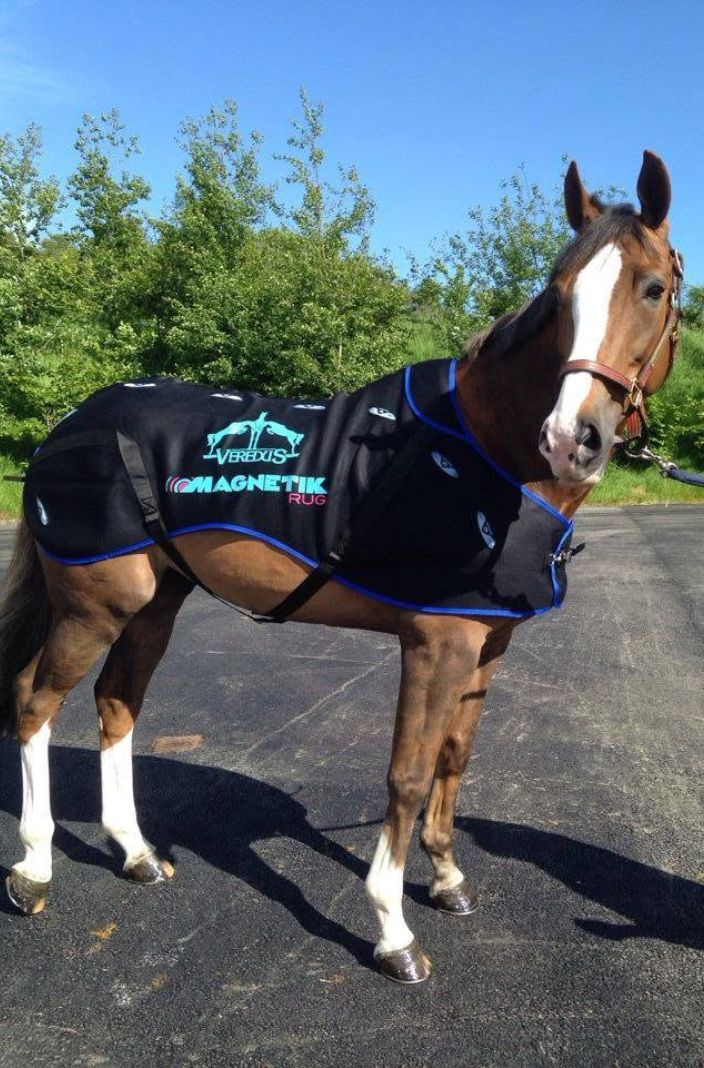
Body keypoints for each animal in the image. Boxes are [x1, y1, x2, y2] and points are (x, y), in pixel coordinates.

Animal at [0, 151, 683, 983]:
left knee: (116, 704)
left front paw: (447, 879)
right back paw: (33, 872)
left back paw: (136, 855)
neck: (481, 451)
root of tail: (70, 425)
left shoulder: (488, 643)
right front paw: (393, 930)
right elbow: (409, 773)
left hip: (155, 605)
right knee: (35, 700)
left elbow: (455, 758)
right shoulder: (436, 643)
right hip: (94, 605)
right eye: (558, 298)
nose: (571, 436)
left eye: (652, 289)